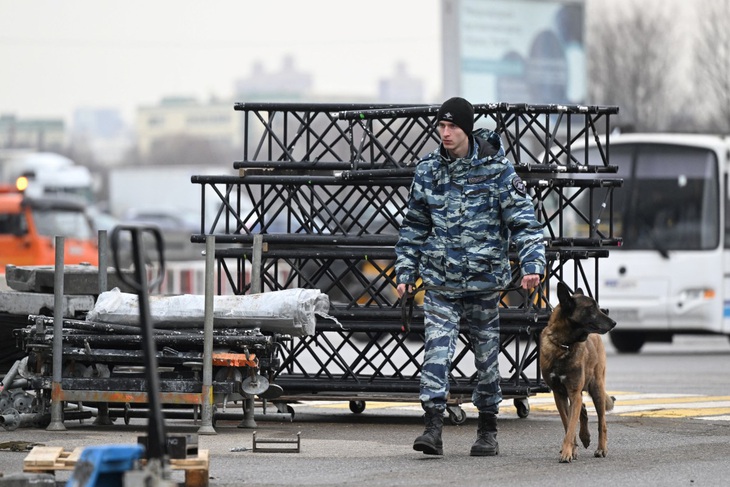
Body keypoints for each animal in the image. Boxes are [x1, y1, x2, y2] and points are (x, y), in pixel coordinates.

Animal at [540, 280, 616, 464]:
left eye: (597, 306)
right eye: (591, 307)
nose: (614, 322)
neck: (564, 346)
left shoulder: (573, 392)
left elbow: (571, 426)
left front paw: (567, 452)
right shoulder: (560, 395)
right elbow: (568, 424)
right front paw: (571, 450)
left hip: (596, 389)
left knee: (602, 422)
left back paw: (601, 448)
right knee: (582, 409)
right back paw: (584, 437)